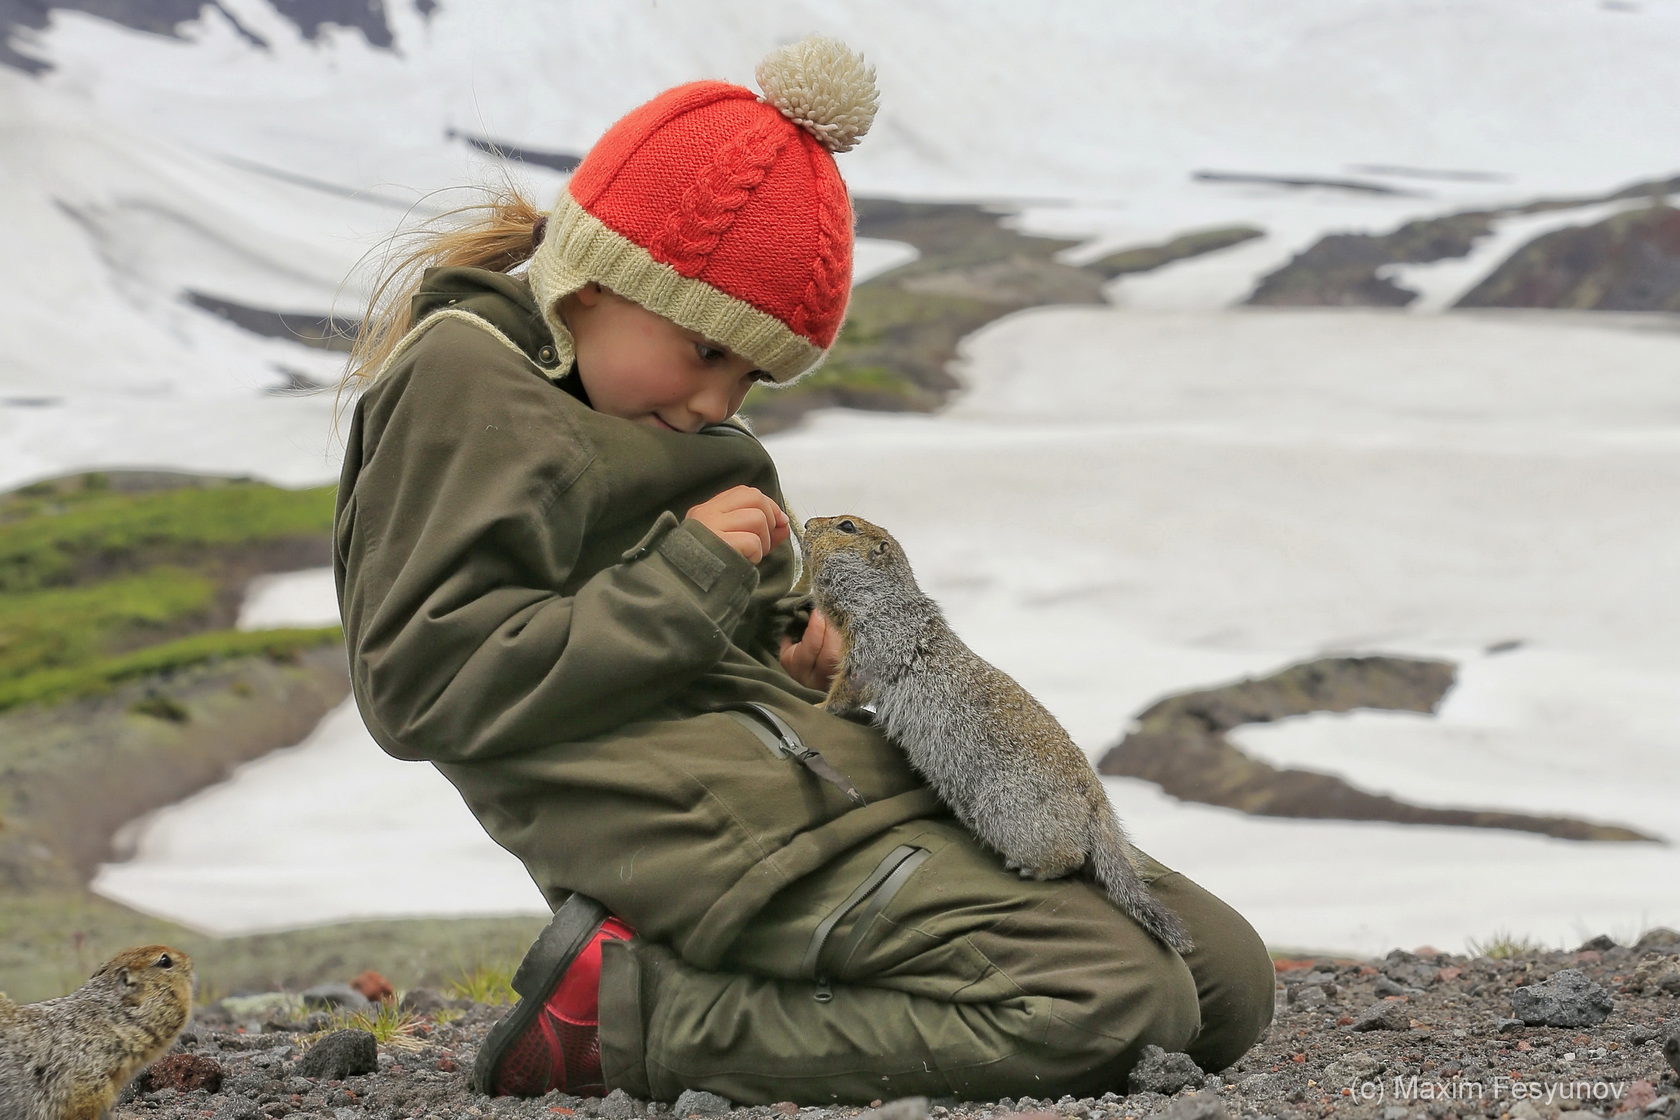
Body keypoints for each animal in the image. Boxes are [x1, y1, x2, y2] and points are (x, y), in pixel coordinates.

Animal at [799, 517, 1196, 953]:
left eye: (846, 526)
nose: (806, 522)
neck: (885, 599)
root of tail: (1098, 805)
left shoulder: (877, 640)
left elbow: (850, 684)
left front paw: (817, 708)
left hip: (1008, 812)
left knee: (1071, 857)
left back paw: (1031, 868)